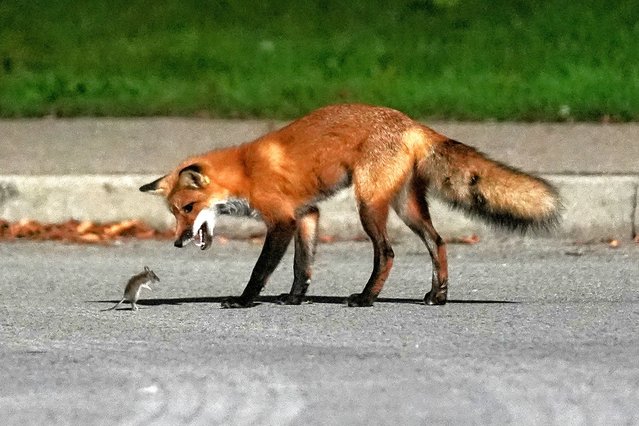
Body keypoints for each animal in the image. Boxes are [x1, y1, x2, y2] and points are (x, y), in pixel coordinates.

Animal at [142, 105, 564, 308]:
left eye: (188, 207)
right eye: (174, 212)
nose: (177, 242)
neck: (245, 171)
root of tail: (411, 122)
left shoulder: (281, 220)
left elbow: (261, 270)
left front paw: (244, 301)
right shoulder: (307, 214)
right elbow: (302, 266)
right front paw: (294, 299)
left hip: (369, 205)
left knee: (387, 253)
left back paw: (366, 299)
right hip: (407, 207)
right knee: (438, 242)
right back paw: (438, 296)